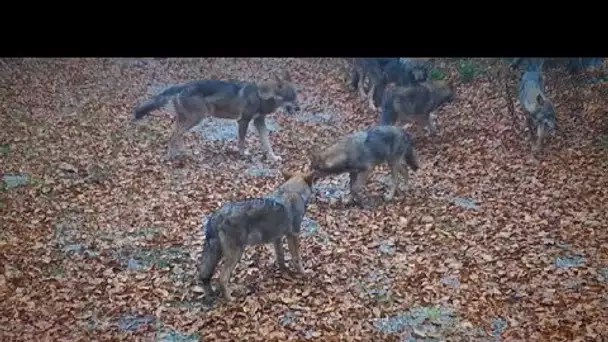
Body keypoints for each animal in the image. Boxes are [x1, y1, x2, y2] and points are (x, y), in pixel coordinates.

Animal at [131, 71, 300, 162]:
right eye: (290, 98)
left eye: (296, 96)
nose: (299, 108)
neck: (260, 95)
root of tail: (182, 86)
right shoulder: (243, 121)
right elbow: (242, 142)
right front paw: (242, 154)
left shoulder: (259, 122)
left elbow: (267, 143)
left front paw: (273, 158)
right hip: (196, 119)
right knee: (174, 135)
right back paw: (176, 156)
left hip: (189, 120)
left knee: (175, 135)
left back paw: (183, 153)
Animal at [198, 170, 316, 300]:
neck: (293, 191)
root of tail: (217, 215)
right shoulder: (293, 235)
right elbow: (297, 259)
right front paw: (304, 274)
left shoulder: (277, 238)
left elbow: (280, 257)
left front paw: (285, 272)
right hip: (235, 255)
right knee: (221, 278)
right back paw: (230, 299)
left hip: (217, 254)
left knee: (203, 274)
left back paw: (210, 295)